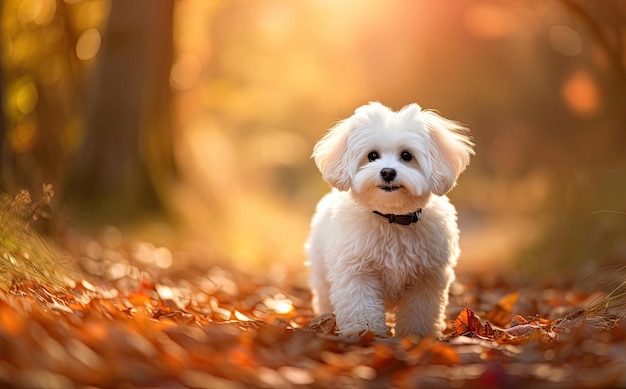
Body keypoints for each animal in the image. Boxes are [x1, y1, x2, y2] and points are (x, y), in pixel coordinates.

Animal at [304, 102, 472, 336]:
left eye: (407, 155)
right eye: (372, 155)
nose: (387, 172)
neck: (392, 218)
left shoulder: (427, 278)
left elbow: (419, 312)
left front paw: (417, 335)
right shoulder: (357, 272)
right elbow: (362, 306)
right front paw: (365, 333)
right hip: (322, 272)